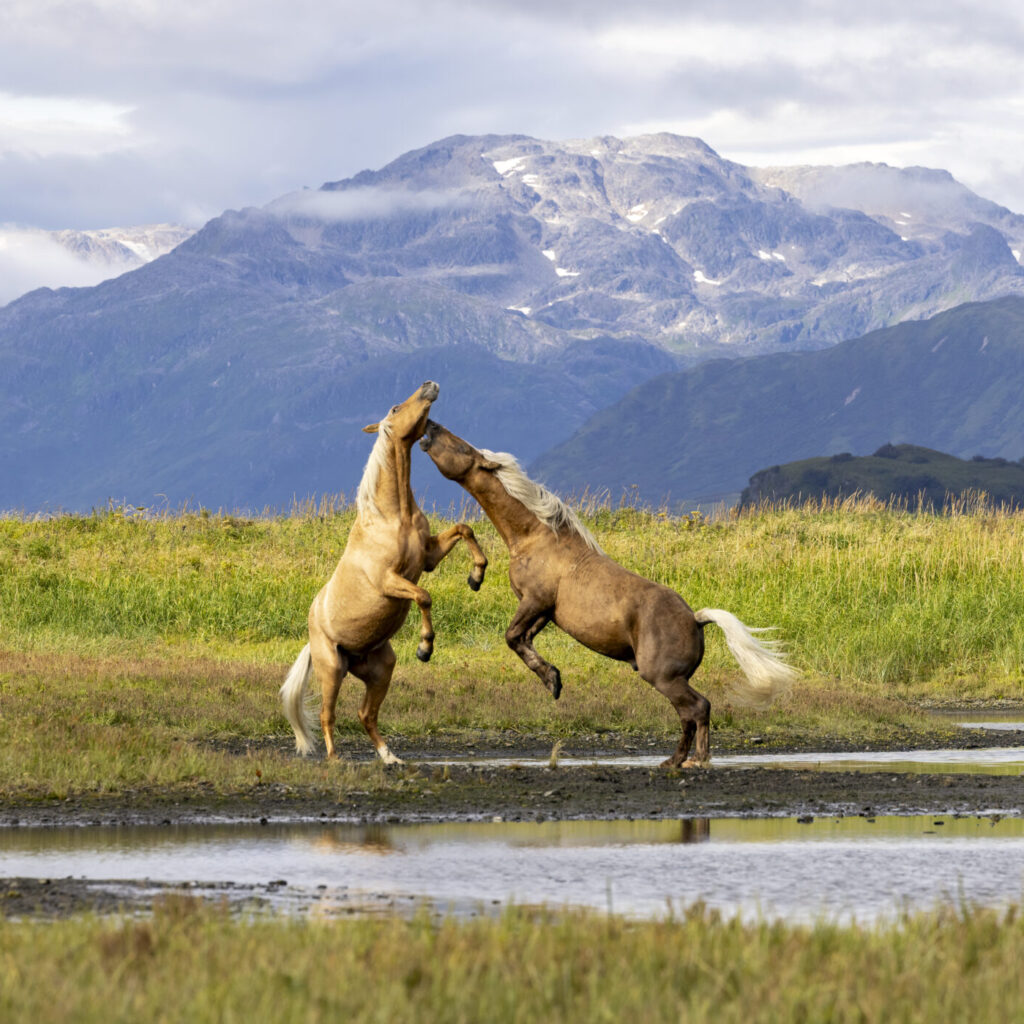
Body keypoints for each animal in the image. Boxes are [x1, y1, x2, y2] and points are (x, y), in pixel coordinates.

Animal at [280, 385, 487, 761]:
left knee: (366, 714)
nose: (430, 385)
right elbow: (424, 596)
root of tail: (312, 634)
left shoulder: (428, 557)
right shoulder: (389, 581)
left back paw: (389, 755)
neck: (392, 517)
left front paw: (477, 576)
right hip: (332, 669)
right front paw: (425, 647)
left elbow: (464, 530)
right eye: (395, 408)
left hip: (380, 670)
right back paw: (335, 758)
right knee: (327, 714)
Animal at [419, 417, 794, 770]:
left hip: (664, 677)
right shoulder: (545, 611)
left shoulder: (534, 600)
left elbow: (511, 637)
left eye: (464, 448)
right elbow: (522, 640)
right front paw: (553, 680)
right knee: (689, 715)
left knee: (698, 708)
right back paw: (675, 760)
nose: (430, 428)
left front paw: (551, 680)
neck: (535, 537)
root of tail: (696, 618)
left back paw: (692, 760)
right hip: (671, 679)